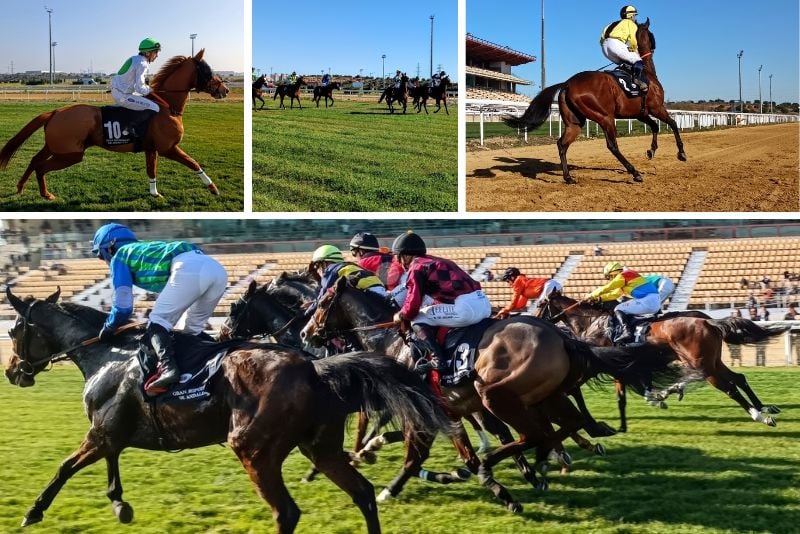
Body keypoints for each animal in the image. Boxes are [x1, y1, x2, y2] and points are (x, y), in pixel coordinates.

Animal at [0, 49, 228, 201]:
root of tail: (55, 112)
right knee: (40, 166)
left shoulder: (151, 148)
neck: (166, 106)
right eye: (208, 71)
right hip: (71, 154)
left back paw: (21, 187)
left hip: (56, 148)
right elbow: (193, 163)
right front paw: (213, 188)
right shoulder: (167, 148)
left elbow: (151, 170)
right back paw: (45, 194)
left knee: (34, 160)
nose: (224, 90)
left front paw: (154, 193)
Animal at [3, 288, 450, 534]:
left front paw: (32, 513)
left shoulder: (99, 433)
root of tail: (314, 367)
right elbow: (110, 463)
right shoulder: (113, 432)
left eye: (12, 329)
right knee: (363, 493)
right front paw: (119, 503)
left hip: (254, 449)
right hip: (319, 446)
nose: (12, 372)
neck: (105, 354)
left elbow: (64, 467)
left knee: (287, 513)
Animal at [304, 278, 684, 512]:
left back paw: (513, 465)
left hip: (497, 395)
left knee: (535, 433)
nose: (307, 333)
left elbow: (415, 457)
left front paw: (388, 489)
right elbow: (459, 451)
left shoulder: (427, 413)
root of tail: (560, 336)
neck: (392, 343)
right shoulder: (451, 411)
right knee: (562, 425)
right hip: (542, 396)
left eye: (323, 302)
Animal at [506, 18, 688, 185]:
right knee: (612, 146)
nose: (655, 46)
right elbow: (673, 124)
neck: (648, 74)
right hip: (605, 117)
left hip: (575, 123)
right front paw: (681, 153)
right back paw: (635, 173)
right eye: (651, 34)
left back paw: (568, 177)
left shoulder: (640, 113)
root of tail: (567, 83)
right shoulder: (657, 108)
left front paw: (651, 151)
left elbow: (655, 126)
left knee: (562, 144)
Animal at [536, 292, 788, 430]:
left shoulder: (610, 363)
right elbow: (631, 389)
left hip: (702, 365)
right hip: (712, 362)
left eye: (539, 305)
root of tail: (709, 322)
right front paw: (657, 398)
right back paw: (764, 407)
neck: (592, 322)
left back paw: (760, 415)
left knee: (729, 387)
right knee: (739, 378)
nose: (536, 320)